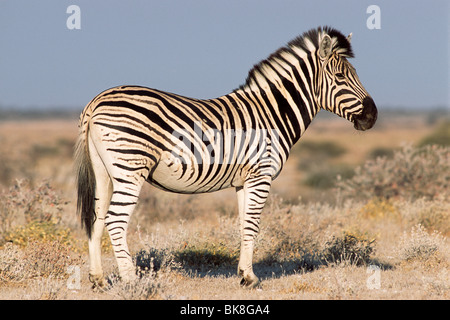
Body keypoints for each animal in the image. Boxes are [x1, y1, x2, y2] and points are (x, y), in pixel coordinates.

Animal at [76, 26, 376, 288]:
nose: (372, 116)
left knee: (97, 218)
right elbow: (253, 225)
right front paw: (251, 278)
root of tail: (96, 102)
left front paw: (243, 273)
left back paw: (98, 279)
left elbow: (243, 225)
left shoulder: (244, 181)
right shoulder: (261, 175)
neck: (272, 114)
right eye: (340, 77)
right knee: (116, 220)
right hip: (130, 166)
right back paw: (131, 281)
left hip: (104, 171)